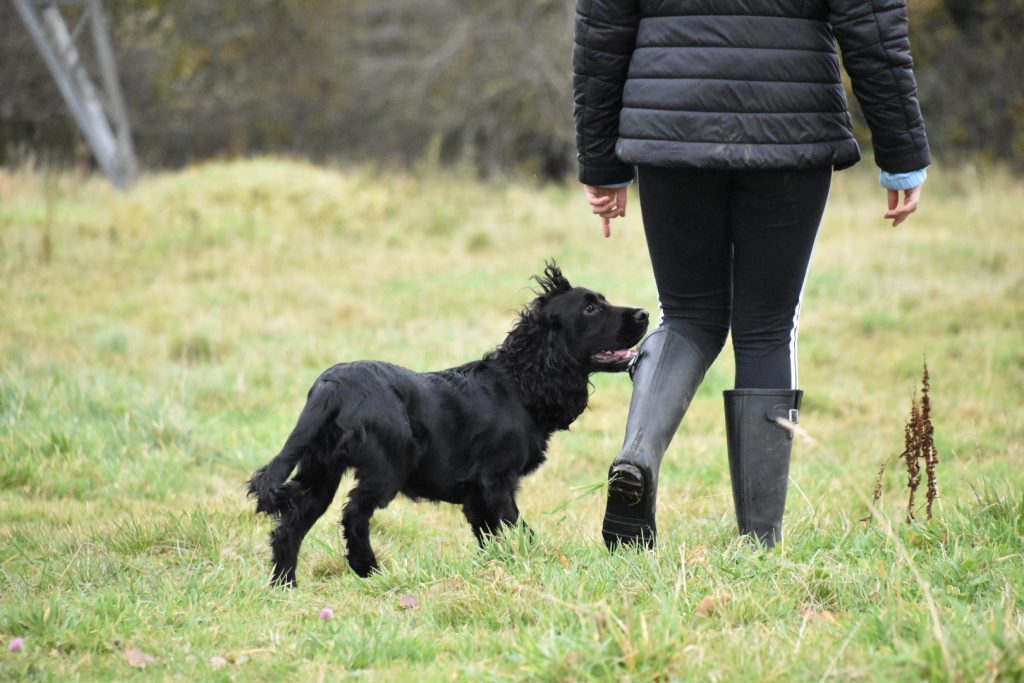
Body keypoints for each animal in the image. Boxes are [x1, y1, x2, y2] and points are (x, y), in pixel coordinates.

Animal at [248, 264, 647, 585]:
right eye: (590, 308)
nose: (644, 313)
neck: (520, 383)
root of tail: (331, 386)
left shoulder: (476, 497)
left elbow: (493, 536)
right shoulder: (496, 483)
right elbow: (518, 529)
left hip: (320, 473)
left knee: (290, 528)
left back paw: (285, 586)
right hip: (385, 467)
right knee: (354, 514)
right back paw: (368, 568)